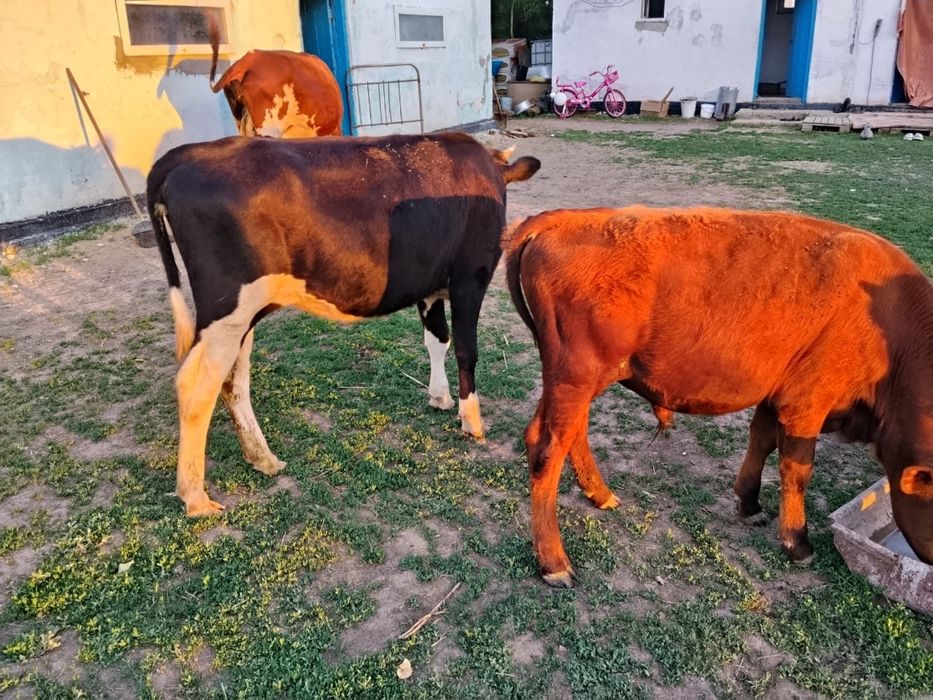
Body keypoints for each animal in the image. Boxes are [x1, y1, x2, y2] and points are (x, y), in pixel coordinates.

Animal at [147, 132, 540, 517]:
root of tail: (187, 153)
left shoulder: (431, 287)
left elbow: (437, 340)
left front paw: (439, 397)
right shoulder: (470, 278)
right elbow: (465, 350)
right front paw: (472, 420)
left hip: (240, 317)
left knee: (232, 382)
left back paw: (262, 459)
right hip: (226, 310)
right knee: (194, 386)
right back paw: (195, 497)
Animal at [505, 206, 933, 587]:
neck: (893, 328)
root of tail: (560, 220)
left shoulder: (776, 395)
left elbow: (761, 441)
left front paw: (749, 504)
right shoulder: (806, 405)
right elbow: (797, 470)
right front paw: (797, 542)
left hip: (571, 383)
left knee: (563, 435)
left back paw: (600, 494)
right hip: (575, 379)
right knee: (547, 450)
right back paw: (554, 563)